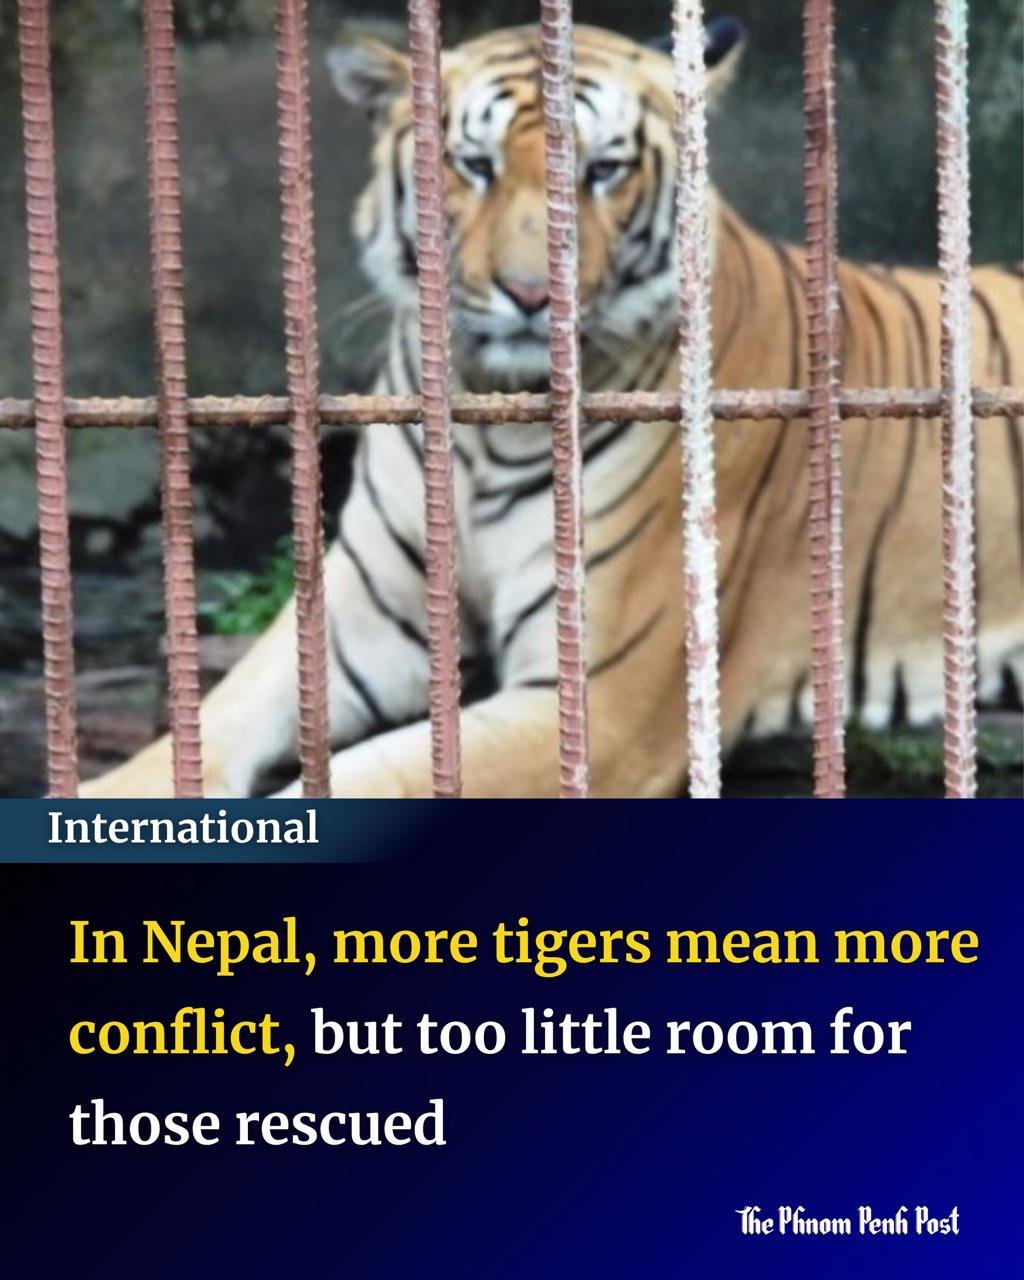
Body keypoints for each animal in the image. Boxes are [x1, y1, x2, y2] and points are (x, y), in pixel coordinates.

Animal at [83, 18, 1023, 799]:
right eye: (475, 165)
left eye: (603, 171)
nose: (533, 296)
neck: (488, 415)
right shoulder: (361, 609)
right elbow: (220, 714)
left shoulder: (603, 700)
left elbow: (383, 775)